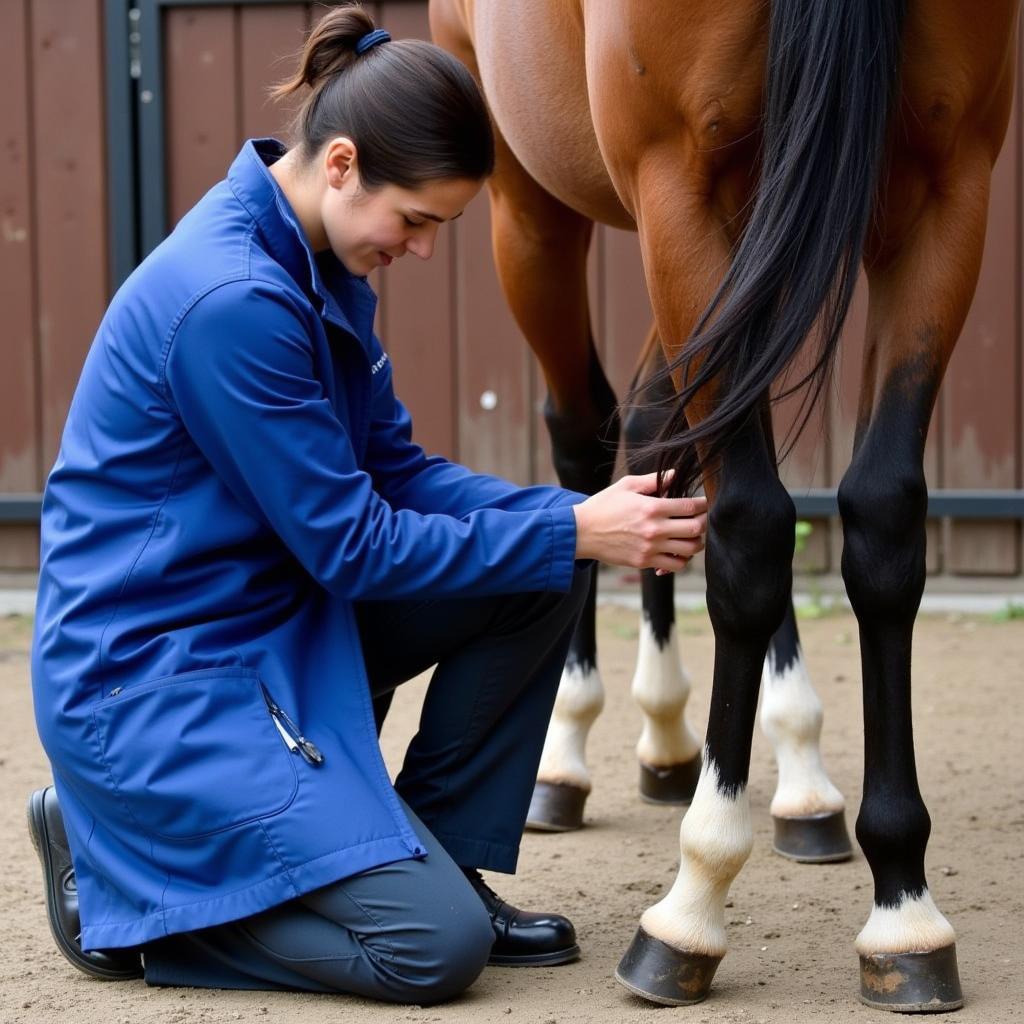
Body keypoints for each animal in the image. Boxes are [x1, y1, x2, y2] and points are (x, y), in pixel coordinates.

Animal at [428, 0, 1019, 1011]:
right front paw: (692, 902)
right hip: (532, 205)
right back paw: (572, 748)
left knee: (660, 428)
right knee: (588, 438)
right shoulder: (679, 183)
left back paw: (709, 749)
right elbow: (749, 525)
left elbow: (880, 519)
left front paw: (904, 909)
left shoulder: (948, 190)